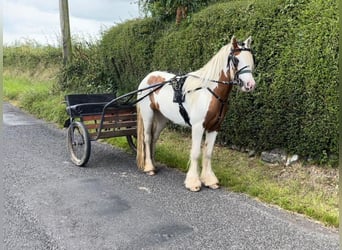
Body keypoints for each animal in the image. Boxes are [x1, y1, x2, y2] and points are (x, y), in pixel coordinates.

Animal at [135, 35, 255, 191]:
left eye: (251, 58)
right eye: (236, 60)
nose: (250, 85)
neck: (209, 91)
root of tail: (148, 77)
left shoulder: (214, 127)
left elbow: (208, 153)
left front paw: (210, 180)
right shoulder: (198, 127)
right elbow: (196, 153)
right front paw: (193, 182)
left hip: (162, 118)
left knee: (154, 138)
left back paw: (154, 164)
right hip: (148, 115)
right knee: (148, 138)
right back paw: (149, 167)